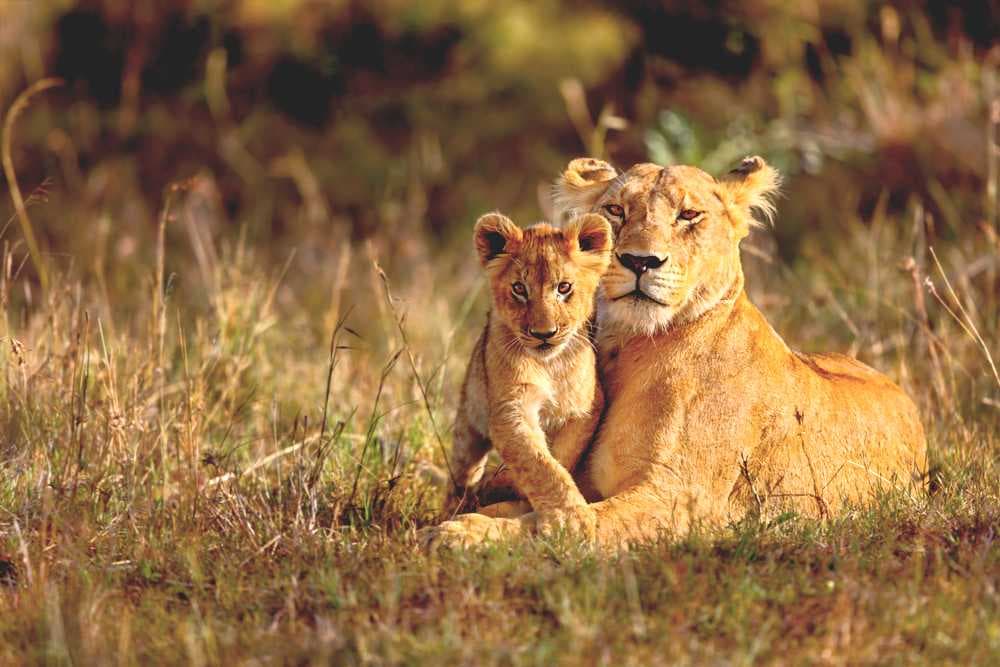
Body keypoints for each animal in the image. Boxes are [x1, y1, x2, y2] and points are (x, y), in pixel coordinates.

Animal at [445, 211, 613, 519]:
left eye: (564, 288)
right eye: (519, 289)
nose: (544, 333)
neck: (550, 365)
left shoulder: (585, 408)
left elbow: (560, 457)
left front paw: (506, 484)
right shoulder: (510, 409)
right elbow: (539, 464)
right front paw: (572, 516)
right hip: (468, 423)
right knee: (462, 473)